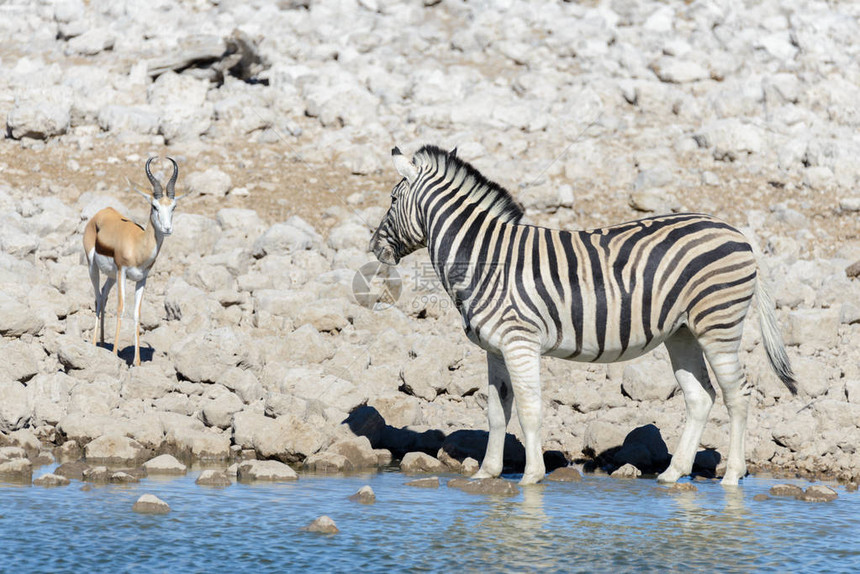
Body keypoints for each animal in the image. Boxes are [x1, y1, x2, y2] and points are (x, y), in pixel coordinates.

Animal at [83, 155, 182, 366]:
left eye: (173, 206)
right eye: (154, 206)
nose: (167, 229)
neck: (139, 246)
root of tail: (102, 212)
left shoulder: (142, 279)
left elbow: (137, 314)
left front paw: (136, 362)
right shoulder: (122, 272)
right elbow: (121, 309)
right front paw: (114, 354)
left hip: (111, 276)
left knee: (103, 294)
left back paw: (102, 343)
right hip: (93, 267)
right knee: (97, 296)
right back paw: (95, 344)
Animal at [366, 144, 796, 486]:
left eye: (391, 198)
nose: (372, 248)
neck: (484, 259)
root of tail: (738, 233)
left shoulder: (519, 342)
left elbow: (529, 409)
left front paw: (530, 477)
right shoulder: (495, 348)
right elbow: (496, 411)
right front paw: (487, 472)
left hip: (717, 324)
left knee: (737, 395)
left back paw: (731, 478)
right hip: (682, 332)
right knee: (700, 397)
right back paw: (674, 473)